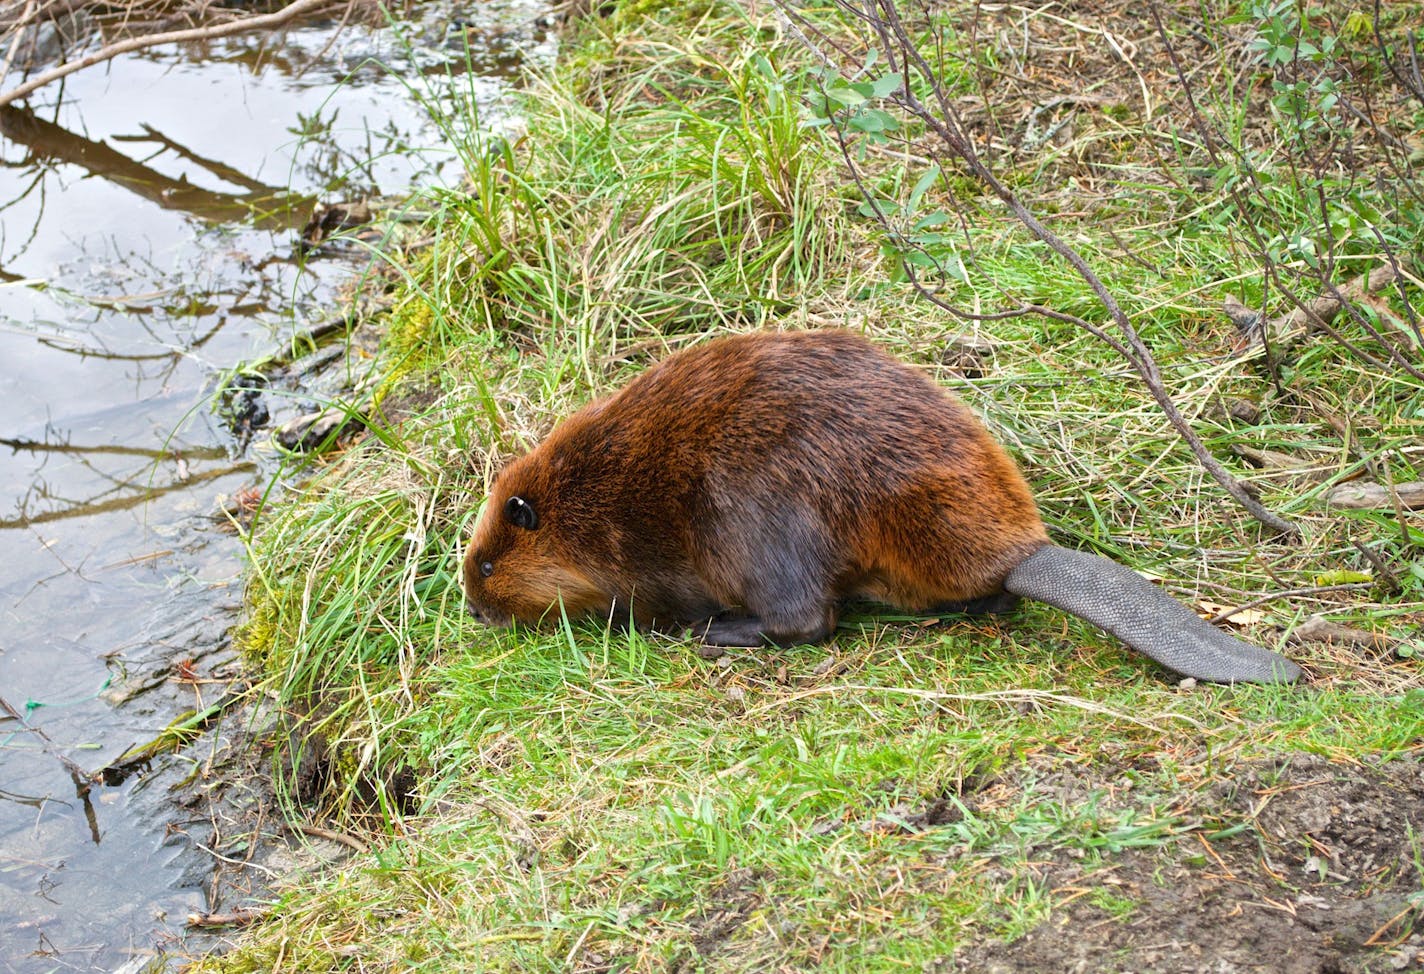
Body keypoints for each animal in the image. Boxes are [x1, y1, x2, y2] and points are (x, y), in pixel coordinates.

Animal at [464, 327, 1304, 683]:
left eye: (489, 564)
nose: (474, 607)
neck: (585, 496)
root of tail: (1027, 554)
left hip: (754, 519)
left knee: (808, 619)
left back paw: (715, 630)